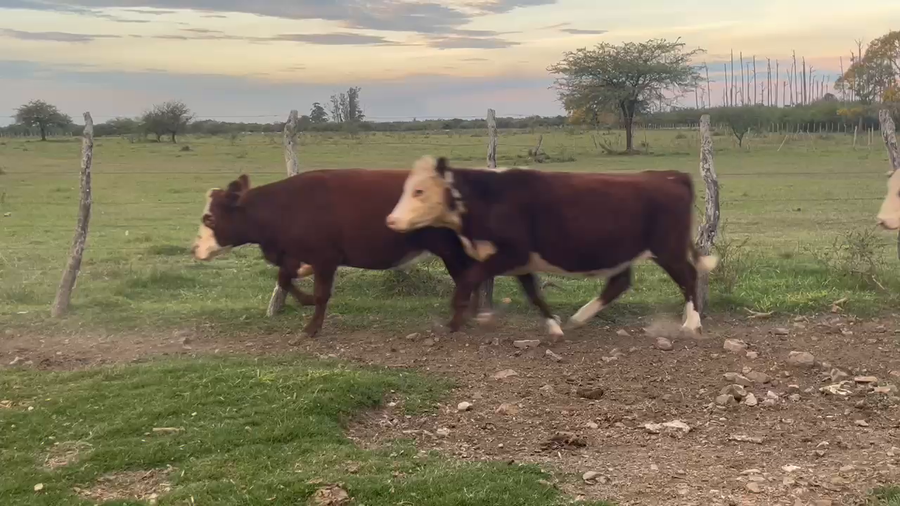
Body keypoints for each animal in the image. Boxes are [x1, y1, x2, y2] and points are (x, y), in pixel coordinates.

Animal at [191, 169, 477, 337]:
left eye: (209, 218)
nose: (194, 249)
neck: (284, 207)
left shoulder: (325, 257)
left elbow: (321, 294)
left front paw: (311, 328)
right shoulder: (293, 253)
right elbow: (284, 279)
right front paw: (304, 300)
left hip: (451, 250)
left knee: (466, 280)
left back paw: (456, 322)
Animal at [385, 156, 719, 338]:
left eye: (419, 190)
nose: (391, 220)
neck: (487, 197)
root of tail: (670, 176)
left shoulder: (511, 253)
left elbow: (468, 279)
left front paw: (454, 321)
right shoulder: (519, 261)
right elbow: (533, 293)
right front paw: (554, 325)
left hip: (668, 249)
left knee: (688, 277)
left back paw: (691, 324)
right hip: (626, 253)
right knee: (620, 282)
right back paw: (579, 318)